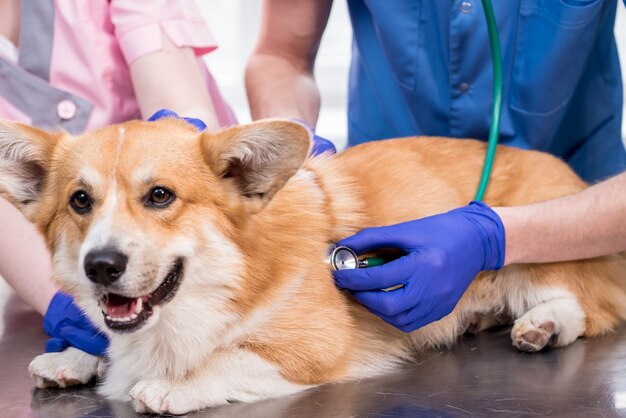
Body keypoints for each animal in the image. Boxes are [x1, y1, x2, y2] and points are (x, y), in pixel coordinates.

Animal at [1, 118, 624, 414]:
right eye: (81, 201)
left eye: (159, 196)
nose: (101, 266)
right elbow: (105, 339)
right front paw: (76, 353)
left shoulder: (314, 347)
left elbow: (233, 356)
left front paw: (172, 387)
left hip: (528, 248)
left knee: (585, 304)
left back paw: (542, 325)